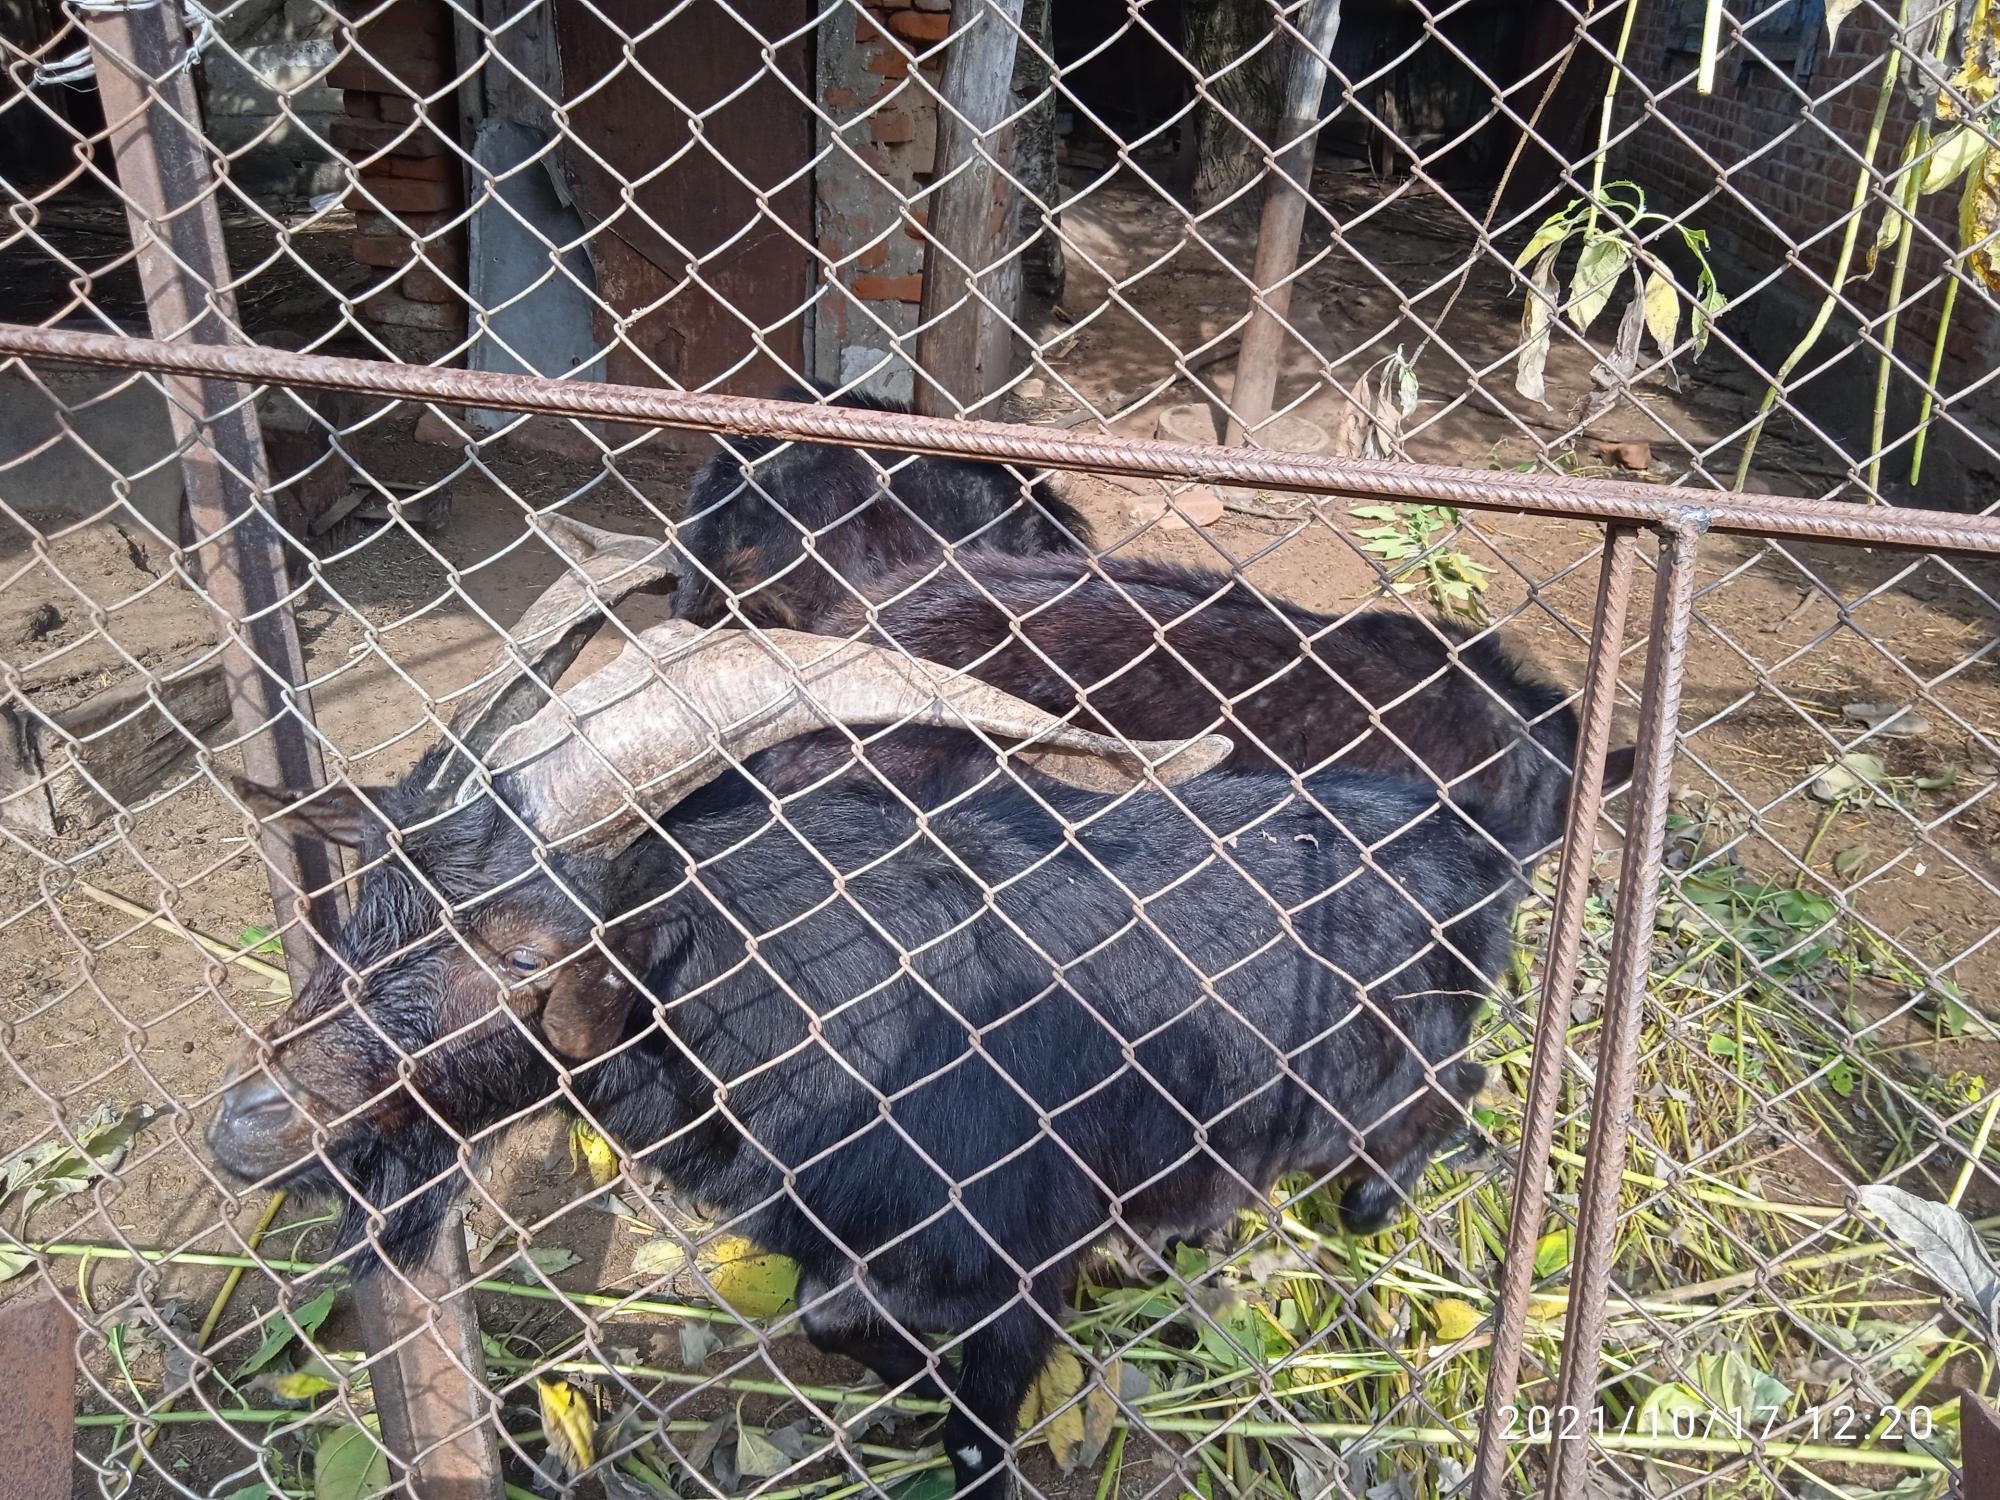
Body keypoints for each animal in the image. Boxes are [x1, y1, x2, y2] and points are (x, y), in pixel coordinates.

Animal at [207, 592, 1512, 1500]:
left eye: (528, 953)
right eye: (369, 889)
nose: (245, 1125)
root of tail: (1467, 845)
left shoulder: (1016, 1261)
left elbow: (977, 1424)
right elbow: (834, 1322)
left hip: (1387, 1071)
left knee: (1452, 1093)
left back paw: (1360, 1203)